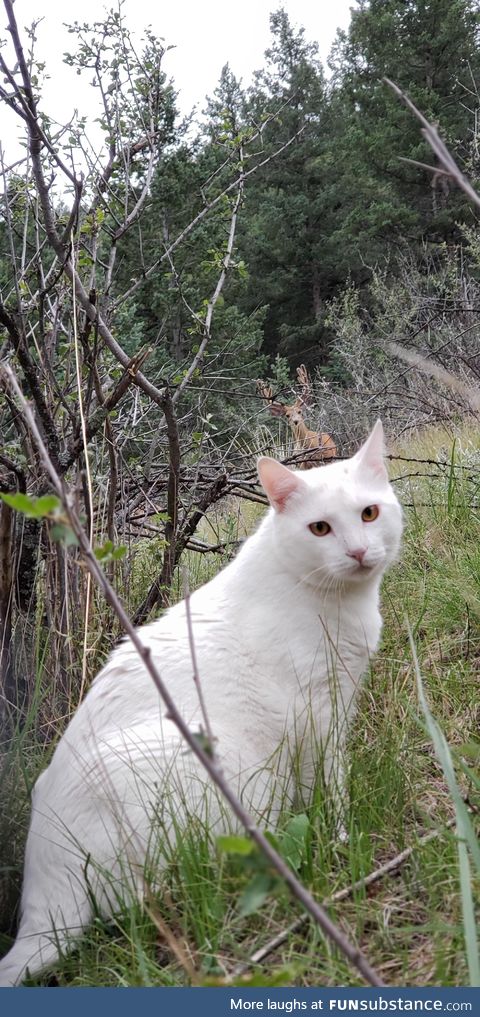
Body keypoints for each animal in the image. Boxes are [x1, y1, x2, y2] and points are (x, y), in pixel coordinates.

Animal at [0, 421, 400, 984]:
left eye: (369, 514)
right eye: (320, 529)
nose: (360, 552)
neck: (342, 604)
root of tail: (42, 896)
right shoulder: (317, 711)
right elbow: (330, 783)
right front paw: (340, 834)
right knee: (163, 892)